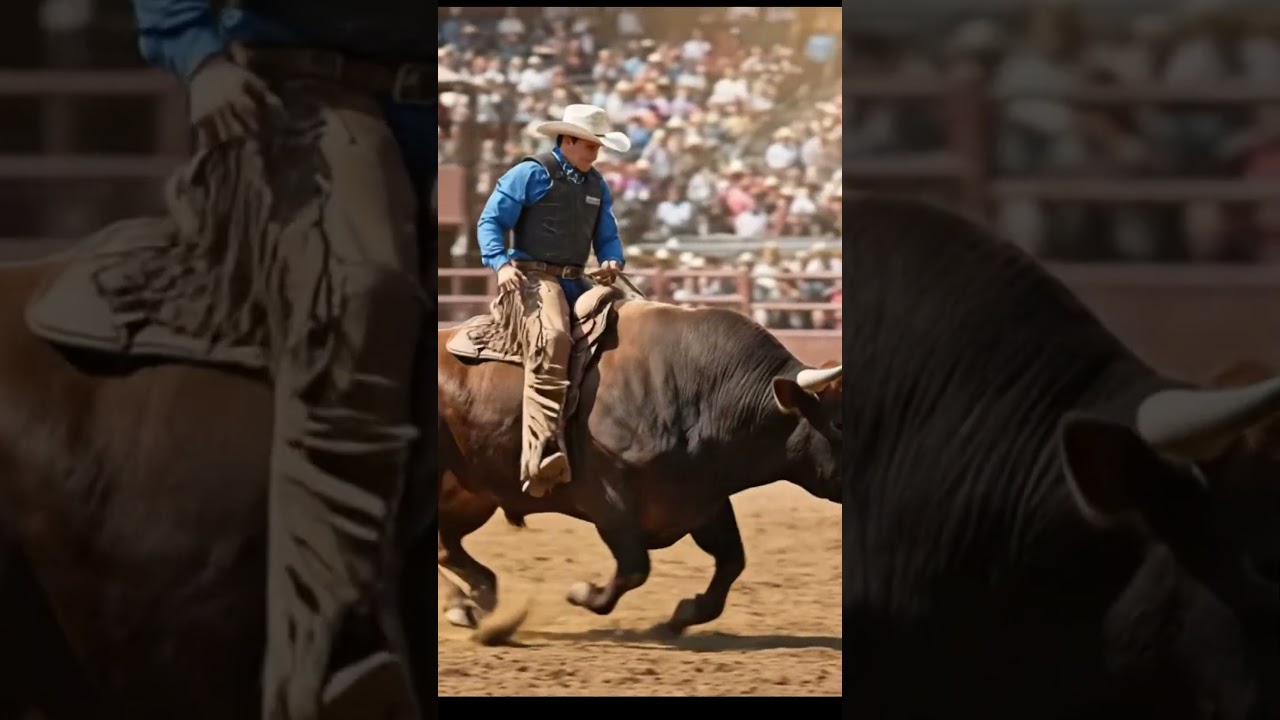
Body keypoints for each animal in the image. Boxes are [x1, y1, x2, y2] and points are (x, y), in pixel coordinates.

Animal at [437, 295, 842, 635]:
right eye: (839, 423)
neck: (703, 394)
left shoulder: (702, 502)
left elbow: (732, 562)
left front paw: (683, 615)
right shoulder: (609, 502)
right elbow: (635, 568)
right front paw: (582, 592)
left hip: (472, 496)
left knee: (447, 546)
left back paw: (476, 597)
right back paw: (464, 604)